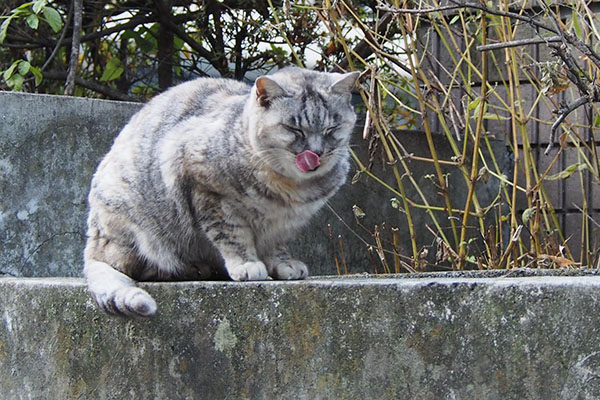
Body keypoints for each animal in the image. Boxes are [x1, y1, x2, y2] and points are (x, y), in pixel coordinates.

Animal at [82, 67, 358, 318]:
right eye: (294, 129)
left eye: (332, 129)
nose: (316, 153)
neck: (289, 189)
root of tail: (92, 244)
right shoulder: (208, 193)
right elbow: (232, 236)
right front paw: (246, 264)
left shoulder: (285, 224)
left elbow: (276, 244)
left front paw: (284, 263)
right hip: (135, 222)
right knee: (131, 265)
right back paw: (188, 269)